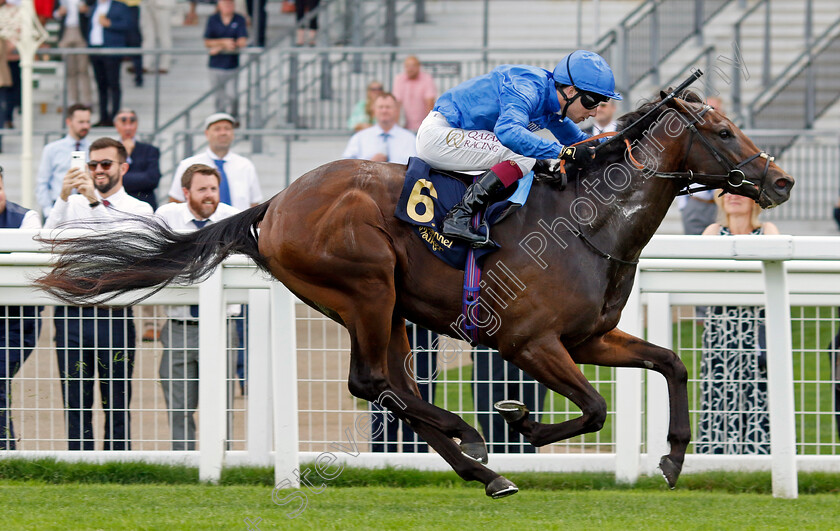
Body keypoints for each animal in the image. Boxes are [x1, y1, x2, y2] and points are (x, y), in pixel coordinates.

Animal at [34, 90, 796, 498]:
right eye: (722, 129)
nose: (781, 180)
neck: (589, 223)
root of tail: (274, 203)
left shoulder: (588, 336)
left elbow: (671, 362)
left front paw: (672, 456)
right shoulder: (530, 342)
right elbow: (596, 407)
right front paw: (520, 420)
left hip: (386, 306)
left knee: (392, 387)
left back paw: (478, 468)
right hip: (366, 284)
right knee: (375, 383)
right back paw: (470, 436)